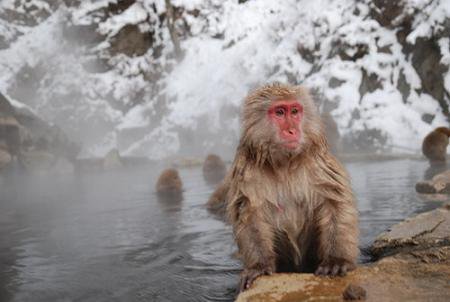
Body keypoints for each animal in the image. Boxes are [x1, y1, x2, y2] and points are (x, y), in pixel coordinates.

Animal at [209, 84, 360, 292]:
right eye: (280, 112)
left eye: (294, 111)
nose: (292, 130)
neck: (285, 163)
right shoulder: (246, 172)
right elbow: (250, 214)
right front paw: (260, 265)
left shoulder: (320, 165)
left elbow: (334, 202)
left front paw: (335, 260)